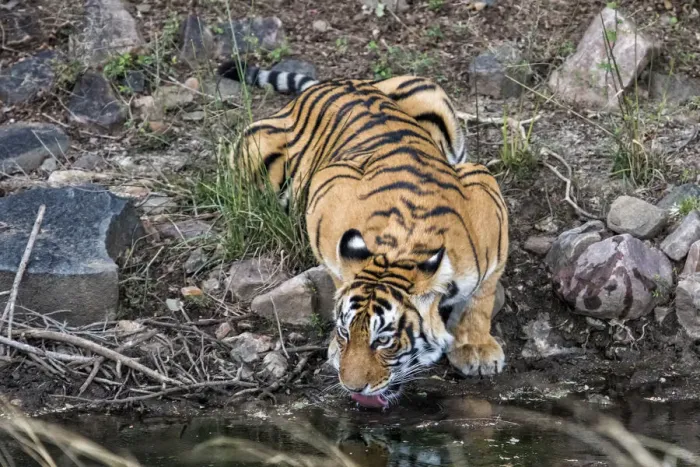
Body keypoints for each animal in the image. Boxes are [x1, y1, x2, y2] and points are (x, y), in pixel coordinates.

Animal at [218, 60, 509, 408]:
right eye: (345, 332)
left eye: (383, 340)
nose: (352, 386)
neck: (403, 248)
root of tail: (328, 84)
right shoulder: (328, 192)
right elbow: (338, 275)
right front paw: (334, 349)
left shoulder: (487, 197)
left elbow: (481, 297)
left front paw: (475, 348)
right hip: (252, 150)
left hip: (429, 91)